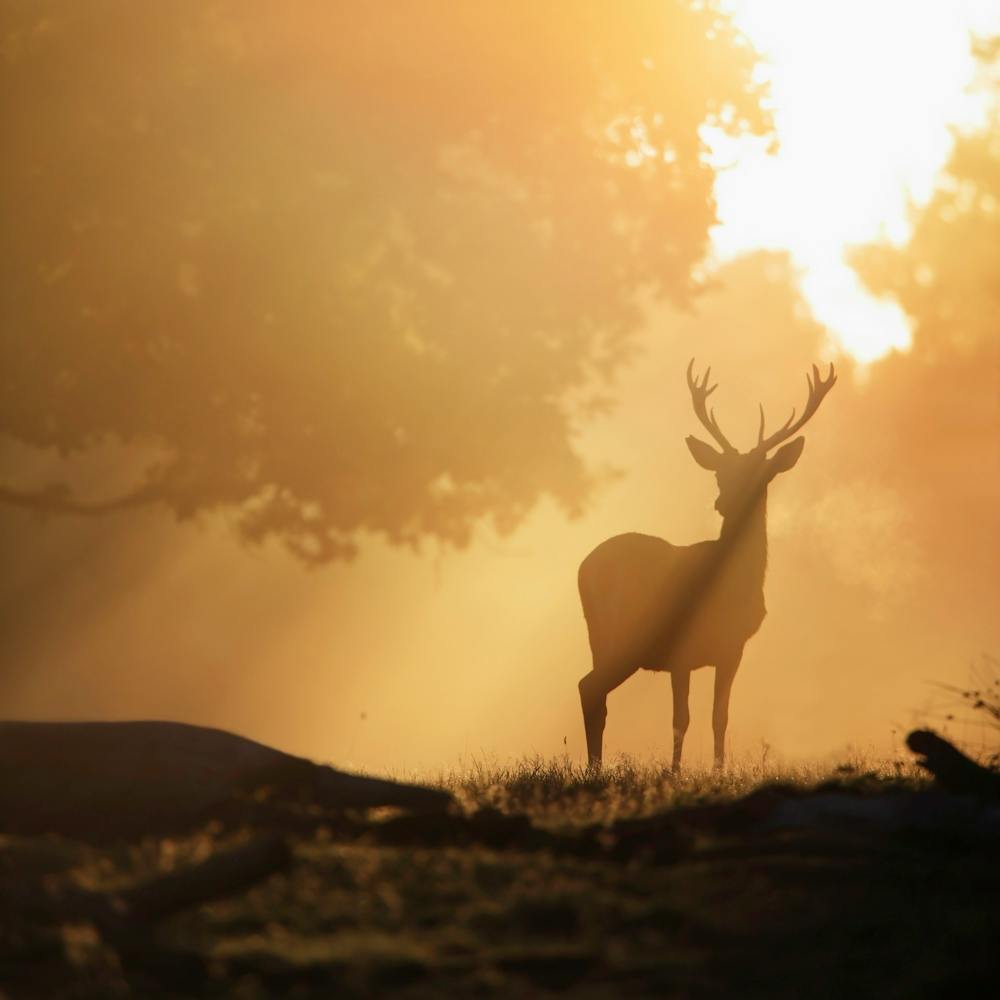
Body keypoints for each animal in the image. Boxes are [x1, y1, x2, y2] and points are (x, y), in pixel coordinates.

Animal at [578, 360, 836, 771]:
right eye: (720, 472)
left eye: (761, 474)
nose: (724, 502)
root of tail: (585, 570)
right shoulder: (682, 650)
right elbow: (680, 718)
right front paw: (674, 772)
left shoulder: (732, 649)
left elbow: (720, 716)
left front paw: (718, 770)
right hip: (626, 634)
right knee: (590, 686)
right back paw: (594, 768)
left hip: (601, 638)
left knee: (593, 689)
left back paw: (594, 767)